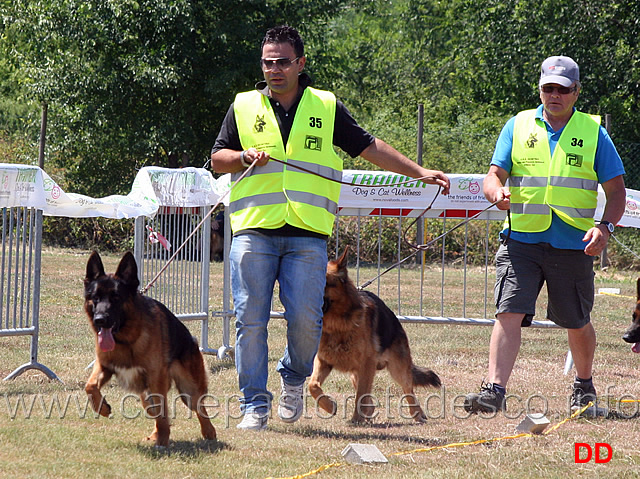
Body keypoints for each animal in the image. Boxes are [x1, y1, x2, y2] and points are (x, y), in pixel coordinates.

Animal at [84, 251, 218, 450]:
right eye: (95, 298)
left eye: (116, 298)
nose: (100, 319)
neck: (127, 339)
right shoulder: (104, 366)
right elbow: (90, 386)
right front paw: (102, 408)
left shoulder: (156, 378)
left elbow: (163, 414)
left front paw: (162, 442)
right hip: (145, 395)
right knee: (155, 411)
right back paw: (156, 434)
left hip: (188, 390)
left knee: (198, 407)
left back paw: (208, 432)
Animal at [308, 249, 440, 422]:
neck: (338, 325)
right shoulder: (324, 361)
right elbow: (312, 385)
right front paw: (329, 406)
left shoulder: (366, 363)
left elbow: (361, 395)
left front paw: (356, 419)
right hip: (357, 374)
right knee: (370, 400)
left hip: (397, 369)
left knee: (408, 389)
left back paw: (418, 414)